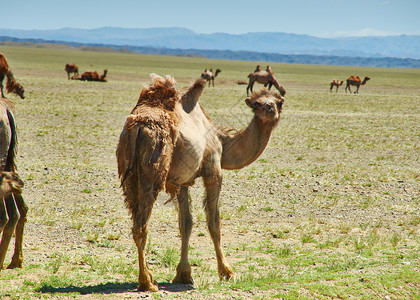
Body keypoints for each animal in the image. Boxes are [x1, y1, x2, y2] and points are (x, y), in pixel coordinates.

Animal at [116, 74, 284, 292]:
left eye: (279, 102)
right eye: (256, 104)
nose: (269, 108)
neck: (221, 141)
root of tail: (137, 127)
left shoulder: (182, 181)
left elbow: (185, 223)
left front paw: (183, 274)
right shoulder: (213, 169)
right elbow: (214, 222)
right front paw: (227, 272)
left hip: (129, 177)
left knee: (136, 221)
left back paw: (146, 279)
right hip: (151, 171)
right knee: (141, 226)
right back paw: (147, 282)